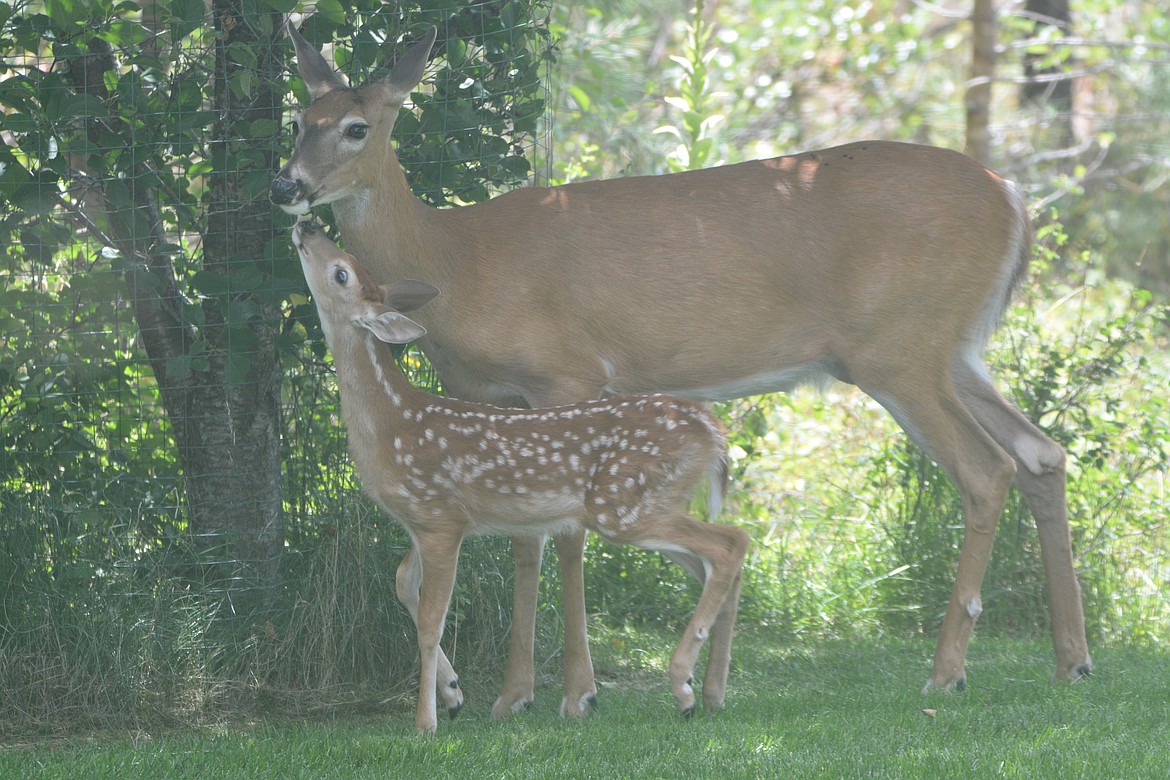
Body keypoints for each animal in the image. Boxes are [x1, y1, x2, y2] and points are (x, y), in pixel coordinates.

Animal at [294, 222, 748, 734]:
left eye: (341, 272)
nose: (305, 226)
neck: (391, 423)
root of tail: (713, 431)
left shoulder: (441, 516)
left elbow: (431, 620)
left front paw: (425, 724)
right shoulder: (420, 521)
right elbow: (402, 583)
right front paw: (453, 693)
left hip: (622, 504)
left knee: (732, 542)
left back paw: (683, 684)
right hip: (651, 503)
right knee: (717, 562)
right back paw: (711, 694)